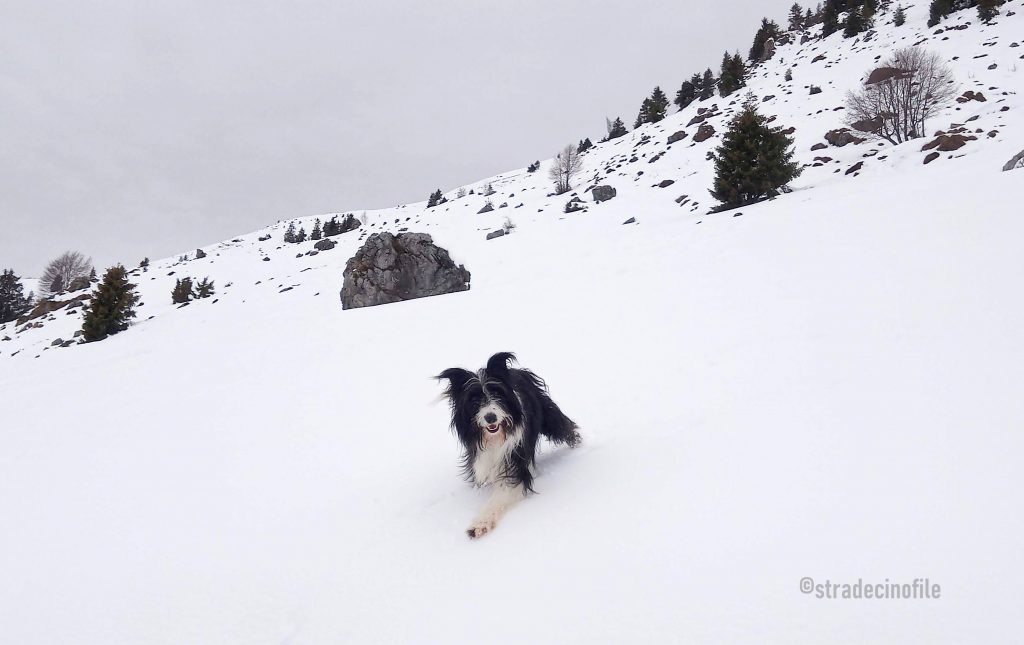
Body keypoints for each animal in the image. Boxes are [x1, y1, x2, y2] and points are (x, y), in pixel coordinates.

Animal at [436, 354, 585, 540]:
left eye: (497, 394)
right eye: (474, 400)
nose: (490, 417)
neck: (494, 439)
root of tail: (518, 370)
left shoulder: (514, 461)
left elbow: (501, 493)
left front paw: (481, 523)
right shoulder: (481, 458)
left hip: (549, 416)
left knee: (565, 428)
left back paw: (578, 443)